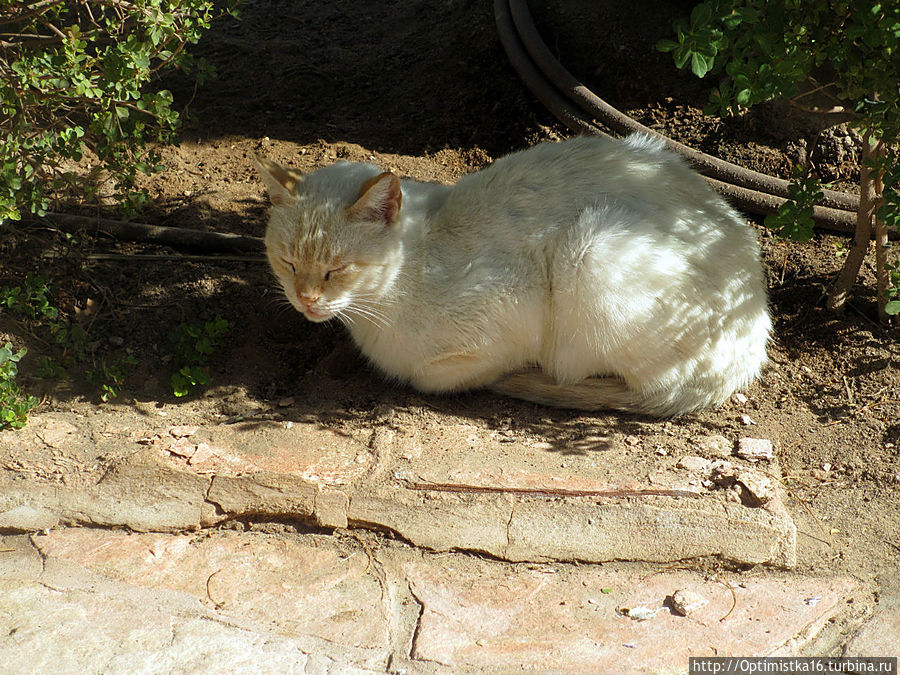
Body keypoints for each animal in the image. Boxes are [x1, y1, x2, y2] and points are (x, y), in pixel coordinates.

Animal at [256, 133, 768, 418]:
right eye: (288, 262)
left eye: (336, 270)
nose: (305, 299)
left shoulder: (507, 324)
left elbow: (430, 376)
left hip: (591, 252)